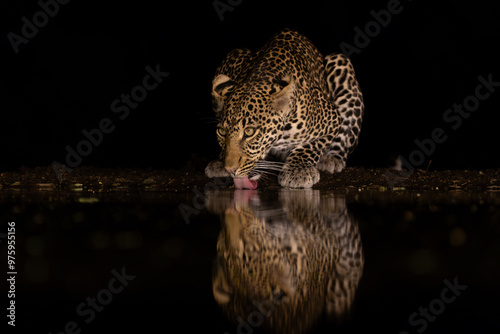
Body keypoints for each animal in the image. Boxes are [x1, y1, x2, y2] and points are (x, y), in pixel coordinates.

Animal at [205, 28, 366, 188]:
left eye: (249, 132)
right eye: (222, 131)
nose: (230, 169)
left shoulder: (332, 120)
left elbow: (312, 145)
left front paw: (298, 170)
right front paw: (220, 161)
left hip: (340, 63)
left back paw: (331, 159)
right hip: (234, 53)